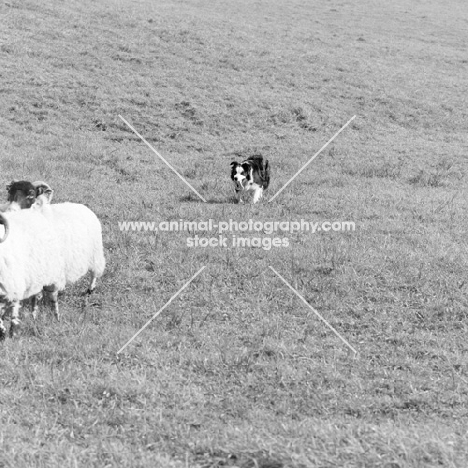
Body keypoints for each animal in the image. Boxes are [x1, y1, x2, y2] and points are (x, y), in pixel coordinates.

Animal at [0, 210, 66, 338]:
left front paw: (11, 331)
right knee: (36, 298)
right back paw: (33, 319)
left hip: (51, 276)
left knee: (53, 298)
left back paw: (56, 319)